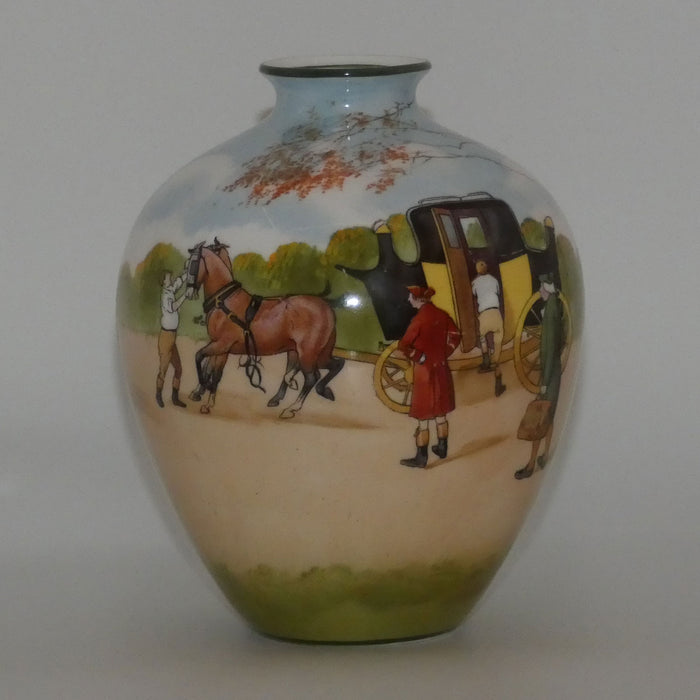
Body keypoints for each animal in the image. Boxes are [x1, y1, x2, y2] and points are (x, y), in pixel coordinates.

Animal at [184, 241, 344, 418]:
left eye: (193, 264)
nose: (188, 292)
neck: (225, 301)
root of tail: (326, 307)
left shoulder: (222, 344)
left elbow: (202, 360)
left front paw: (204, 395)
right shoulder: (220, 347)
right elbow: (213, 371)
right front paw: (204, 396)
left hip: (307, 353)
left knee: (311, 378)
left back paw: (291, 408)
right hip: (310, 353)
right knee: (335, 364)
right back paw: (314, 392)